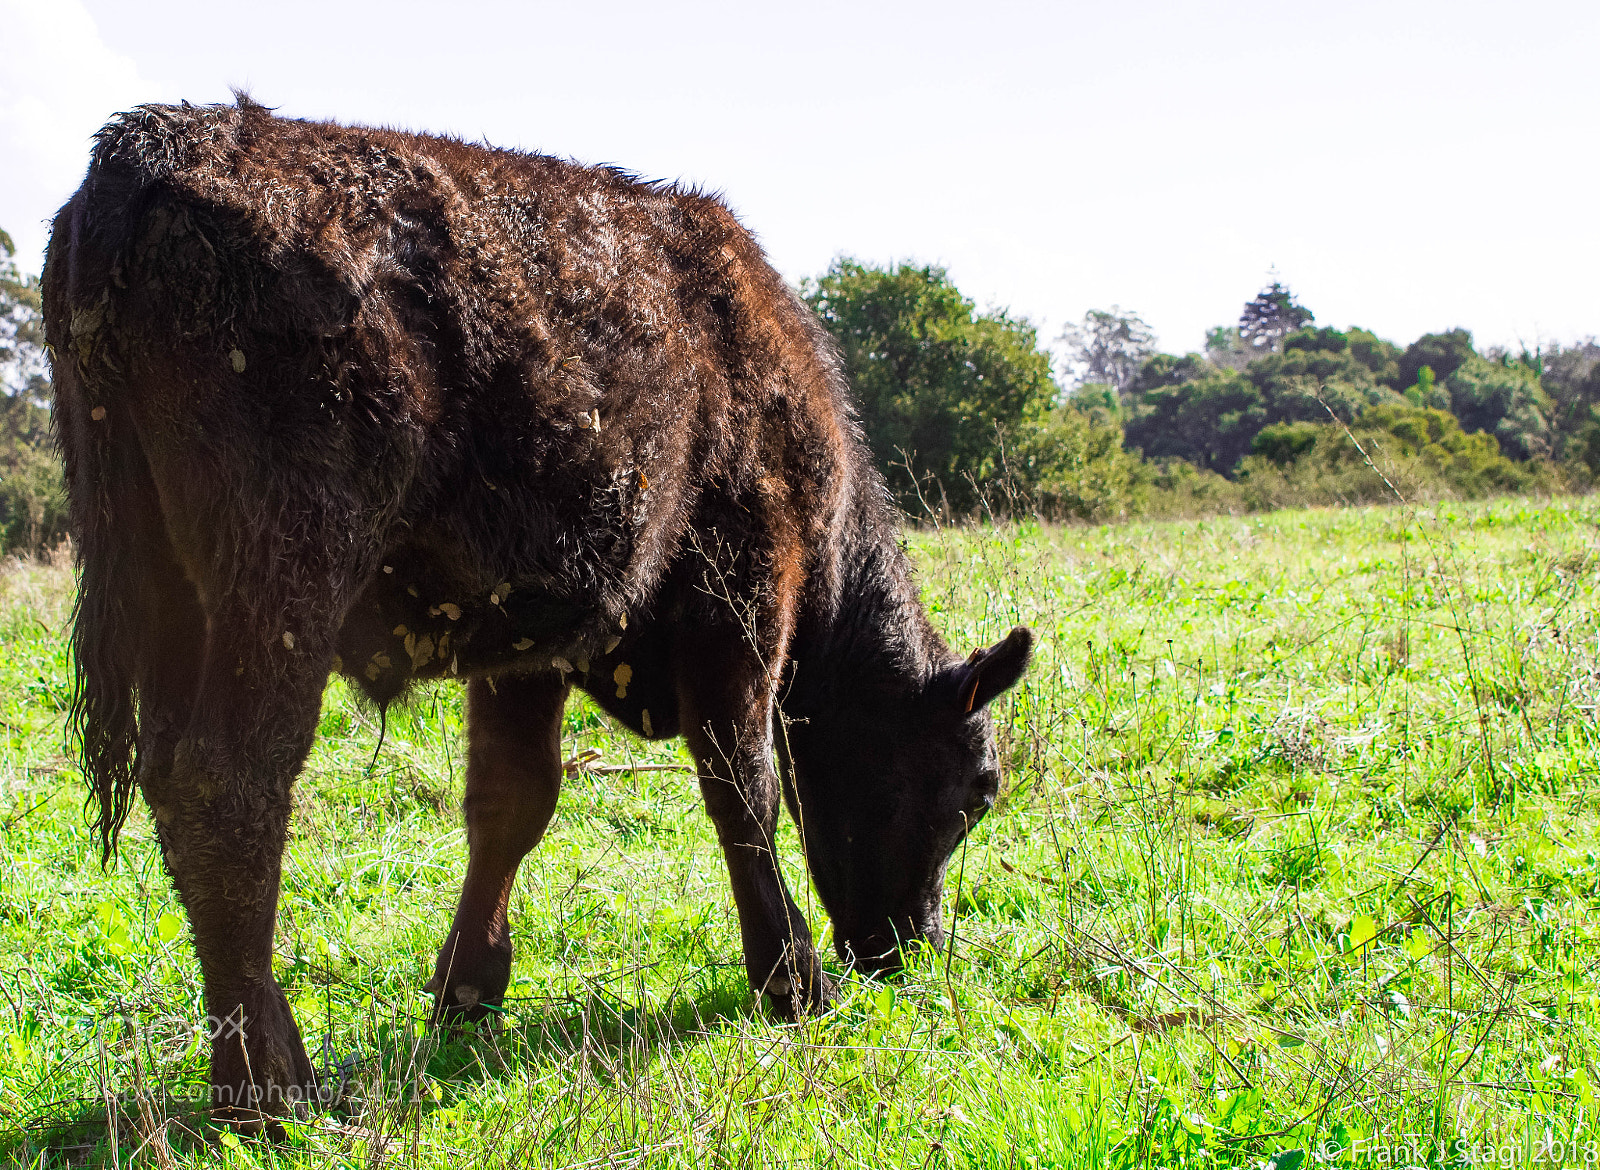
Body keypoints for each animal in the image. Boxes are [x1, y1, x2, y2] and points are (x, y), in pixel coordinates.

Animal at [42, 96, 1033, 1128]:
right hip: (280, 583)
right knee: (228, 785)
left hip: (164, 594)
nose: (911, 949)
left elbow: (512, 802)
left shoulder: (528, 645)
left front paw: (467, 986)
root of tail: (150, 146)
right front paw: (793, 979)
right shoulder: (743, 605)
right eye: (980, 787)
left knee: (171, 785)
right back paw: (272, 1086)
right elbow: (742, 785)